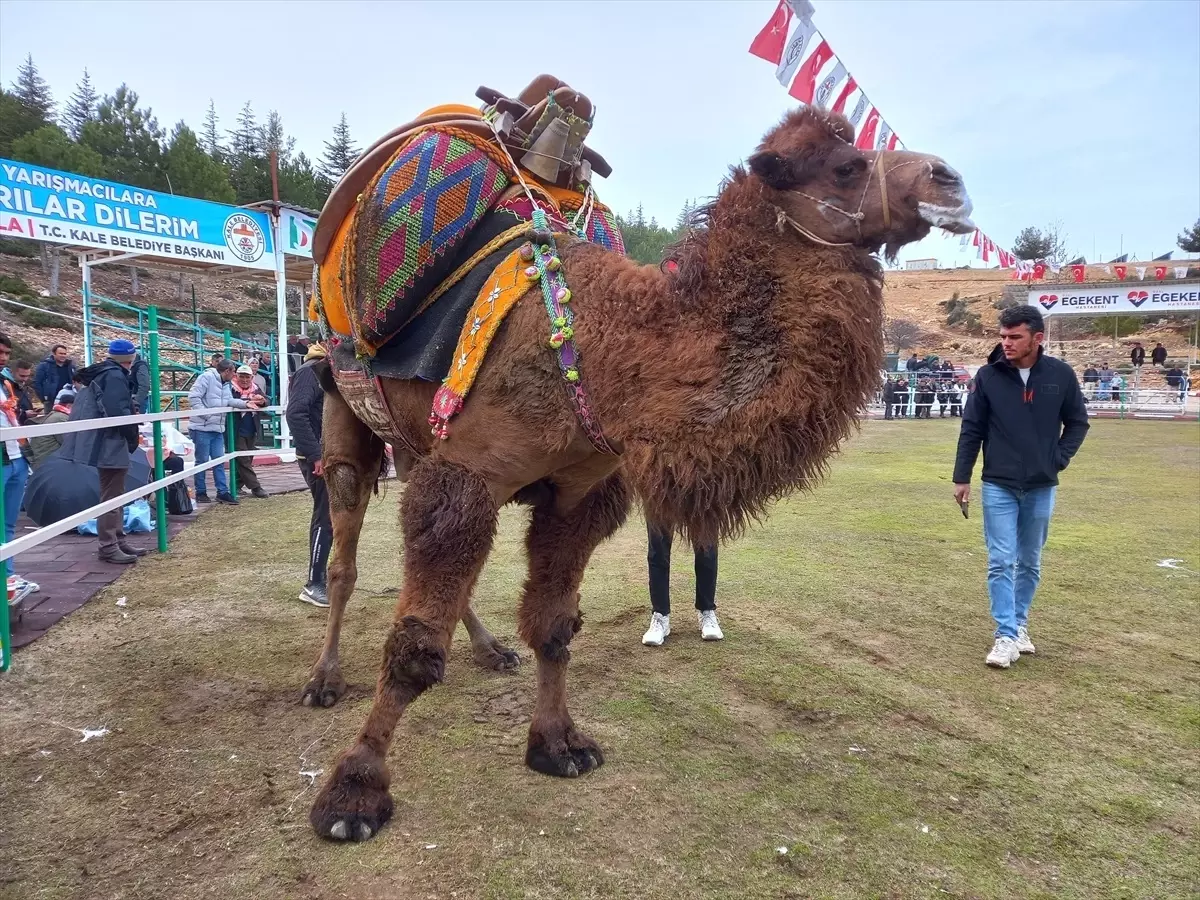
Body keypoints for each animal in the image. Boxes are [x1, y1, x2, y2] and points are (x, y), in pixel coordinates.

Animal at [302, 107, 974, 844]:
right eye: (846, 166)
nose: (950, 179)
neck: (607, 352)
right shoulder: (468, 475)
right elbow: (413, 648)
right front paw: (353, 793)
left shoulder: (578, 494)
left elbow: (554, 627)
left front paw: (558, 745)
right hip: (341, 404)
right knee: (343, 550)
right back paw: (323, 679)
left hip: (421, 441)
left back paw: (489, 650)